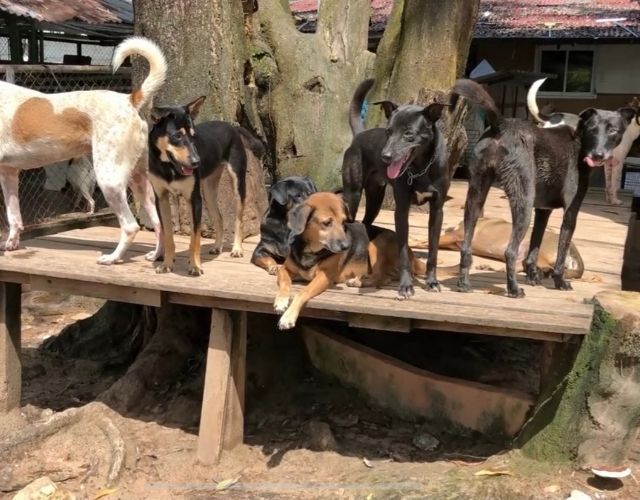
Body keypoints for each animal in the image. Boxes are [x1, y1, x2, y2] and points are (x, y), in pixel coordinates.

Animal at [0, 36, 165, 264]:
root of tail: (129, 100)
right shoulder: (8, 173)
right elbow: (14, 216)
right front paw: (11, 244)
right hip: (140, 181)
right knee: (159, 223)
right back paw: (156, 255)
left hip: (109, 179)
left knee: (131, 226)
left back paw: (112, 258)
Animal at [274, 192, 426, 330]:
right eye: (327, 223)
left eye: (343, 222)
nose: (346, 246)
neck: (310, 251)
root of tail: (410, 252)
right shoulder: (284, 269)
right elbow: (285, 282)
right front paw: (281, 301)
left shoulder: (324, 277)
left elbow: (302, 292)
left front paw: (288, 317)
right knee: (386, 277)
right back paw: (359, 281)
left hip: (374, 244)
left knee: (383, 277)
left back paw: (359, 282)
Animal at [341, 79, 450, 299]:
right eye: (388, 132)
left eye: (409, 133)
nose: (385, 156)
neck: (422, 168)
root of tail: (360, 135)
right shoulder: (401, 211)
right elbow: (403, 252)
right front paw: (406, 286)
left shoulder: (437, 210)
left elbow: (433, 251)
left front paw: (432, 282)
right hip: (353, 194)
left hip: (375, 200)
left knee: (366, 223)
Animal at [453, 78, 634, 297]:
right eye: (592, 129)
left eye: (613, 130)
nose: (598, 155)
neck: (579, 139)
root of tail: (501, 125)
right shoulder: (570, 212)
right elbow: (562, 252)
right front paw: (559, 281)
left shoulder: (542, 211)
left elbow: (534, 246)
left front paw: (533, 277)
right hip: (523, 203)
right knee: (510, 251)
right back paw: (514, 289)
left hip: (476, 196)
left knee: (466, 245)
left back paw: (464, 283)